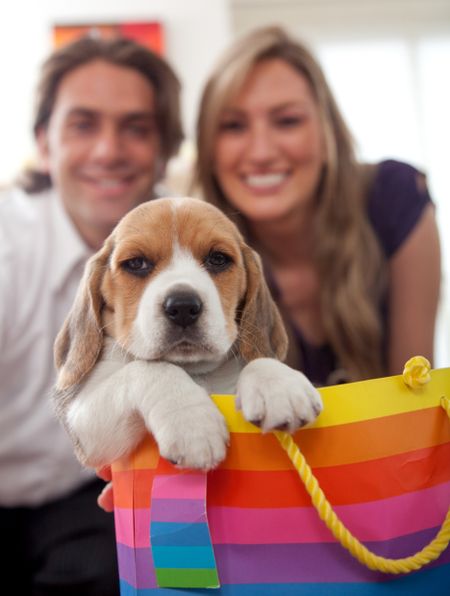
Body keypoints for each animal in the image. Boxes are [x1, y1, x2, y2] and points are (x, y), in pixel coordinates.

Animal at [52, 198, 322, 472]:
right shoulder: (83, 425)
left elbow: (258, 357)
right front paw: (192, 423)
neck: (195, 370)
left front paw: (279, 385)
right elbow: (149, 369)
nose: (182, 307)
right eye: (136, 263)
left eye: (217, 259)